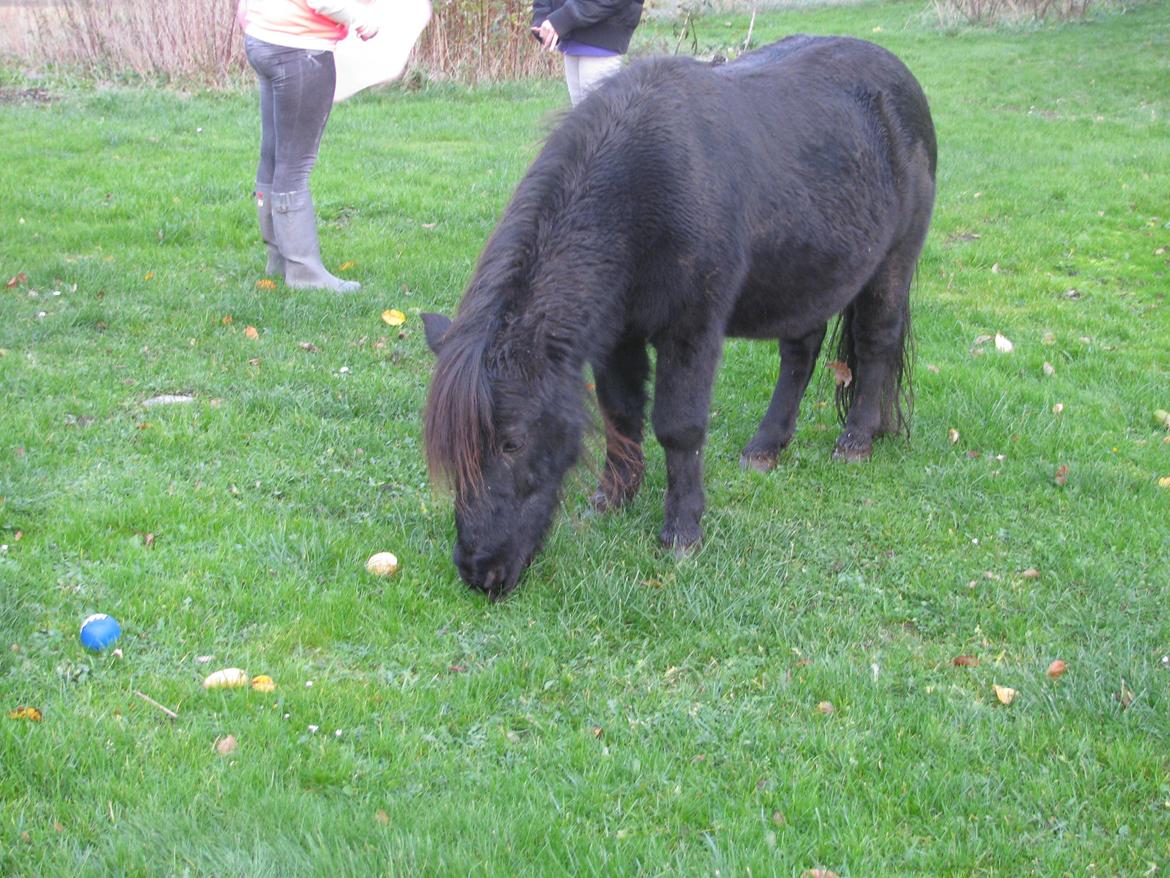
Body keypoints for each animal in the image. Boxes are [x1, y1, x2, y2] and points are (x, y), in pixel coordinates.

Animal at [421, 34, 931, 599]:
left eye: (512, 442)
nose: (479, 571)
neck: (641, 190)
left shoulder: (692, 330)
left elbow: (678, 427)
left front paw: (682, 530)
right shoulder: (616, 337)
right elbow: (620, 413)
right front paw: (613, 498)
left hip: (893, 262)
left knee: (876, 343)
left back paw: (857, 440)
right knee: (801, 352)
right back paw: (765, 447)